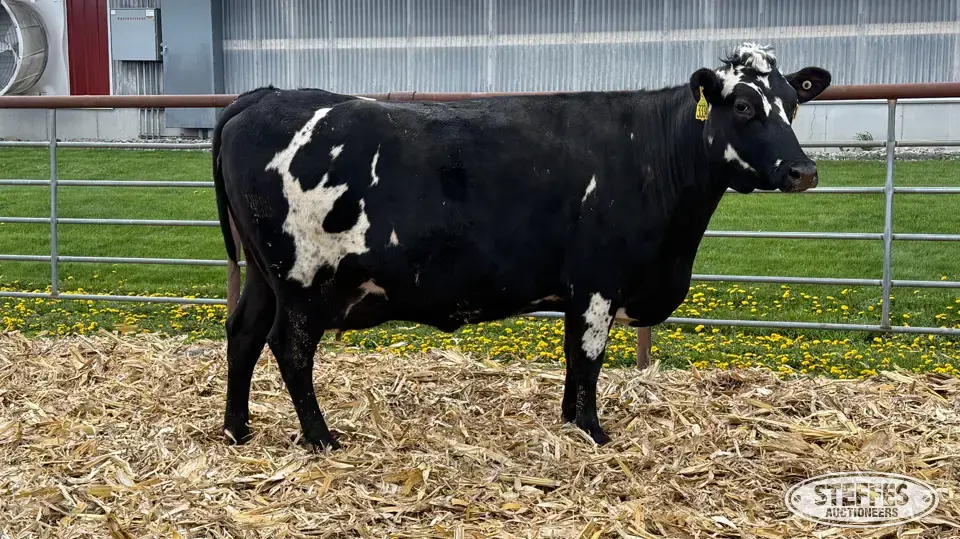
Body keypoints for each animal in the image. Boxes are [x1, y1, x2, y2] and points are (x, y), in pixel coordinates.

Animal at [212, 43, 832, 451]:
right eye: (744, 107)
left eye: (793, 103)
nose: (802, 171)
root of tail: (262, 97)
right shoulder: (598, 283)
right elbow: (588, 359)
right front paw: (593, 432)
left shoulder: (584, 291)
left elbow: (574, 359)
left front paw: (570, 423)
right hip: (301, 279)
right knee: (289, 349)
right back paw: (320, 437)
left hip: (265, 275)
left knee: (242, 333)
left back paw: (238, 429)